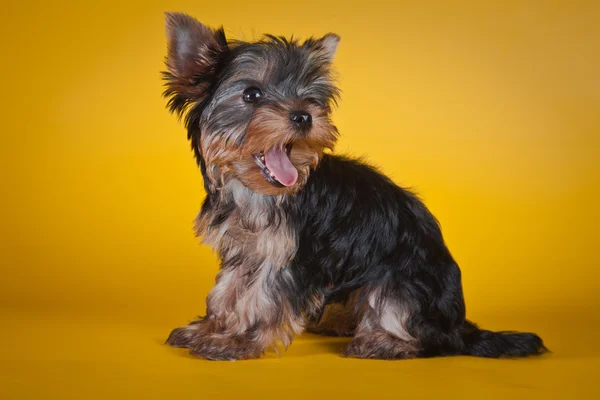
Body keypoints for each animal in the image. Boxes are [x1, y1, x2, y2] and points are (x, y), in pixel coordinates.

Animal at [162, 14, 548, 360]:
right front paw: (211, 328)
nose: (304, 115)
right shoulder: (244, 248)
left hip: (404, 279)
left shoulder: (293, 256)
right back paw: (338, 322)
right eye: (251, 94)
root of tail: (458, 324)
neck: (258, 193)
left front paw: (238, 341)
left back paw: (384, 342)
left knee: (424, 331)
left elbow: (264, 296)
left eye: (310, 97)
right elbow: (228, 289)